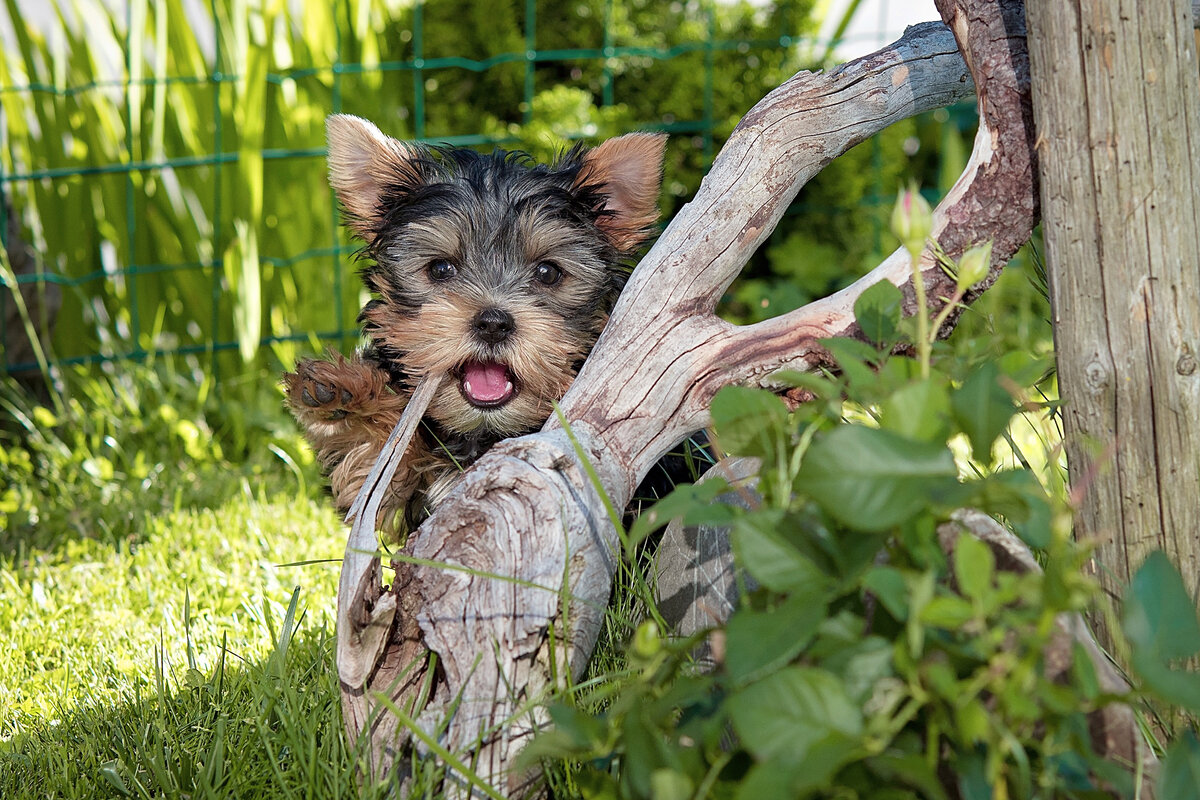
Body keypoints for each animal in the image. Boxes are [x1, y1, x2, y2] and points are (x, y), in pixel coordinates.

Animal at [286, 113, 672, 537]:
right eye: (440, 268)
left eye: (548, 272)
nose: (493, 322)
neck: (483, 432)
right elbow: (375, 473)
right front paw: (345, 397)